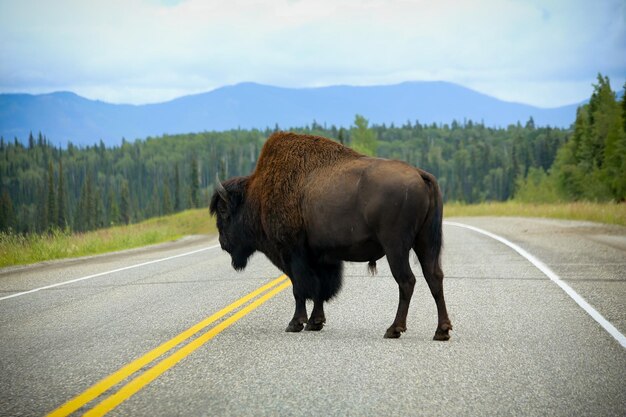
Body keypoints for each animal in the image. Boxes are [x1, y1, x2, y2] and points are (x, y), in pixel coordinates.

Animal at [210, 132, 448, 340]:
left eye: (223, 210)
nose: (223, 242)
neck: (257, 196)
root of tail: (420, 174)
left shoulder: (292, 253)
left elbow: (300, 288)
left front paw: (295, 323)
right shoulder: (322, 258)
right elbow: (320, 289)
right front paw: (315, 322)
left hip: (395, 247)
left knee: (407, 281)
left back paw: (394, 329)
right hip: (425, 243)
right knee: (434, 277)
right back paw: (441, 331)